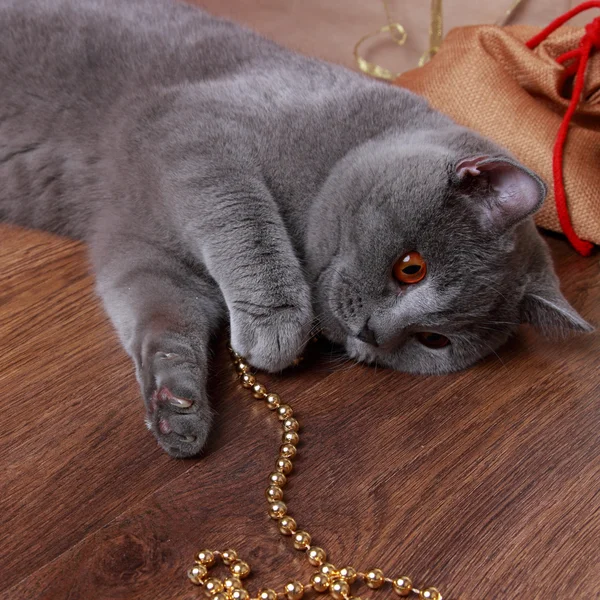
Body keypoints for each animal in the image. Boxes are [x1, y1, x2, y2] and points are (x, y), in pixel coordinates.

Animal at [0, 0, 592, 454]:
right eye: (412, 268)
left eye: (433, 341)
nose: (372, 335)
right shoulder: (195, 129)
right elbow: (243, 217)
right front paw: (276, 324)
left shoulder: (138, 248)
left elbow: (163, 319)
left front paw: (177, 406)